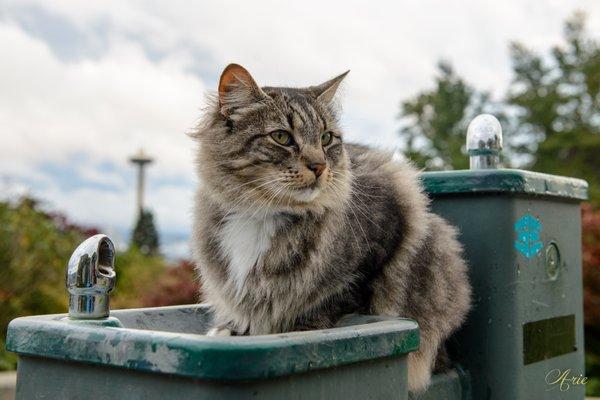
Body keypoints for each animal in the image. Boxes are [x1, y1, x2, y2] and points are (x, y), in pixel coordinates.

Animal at [190, 64, 472, 392]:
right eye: (282, 137)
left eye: (326, 138)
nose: (319, 166)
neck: (262, 213)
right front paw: (228, 331)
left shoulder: (380, 245)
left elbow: (330, 302)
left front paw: (300, 331)